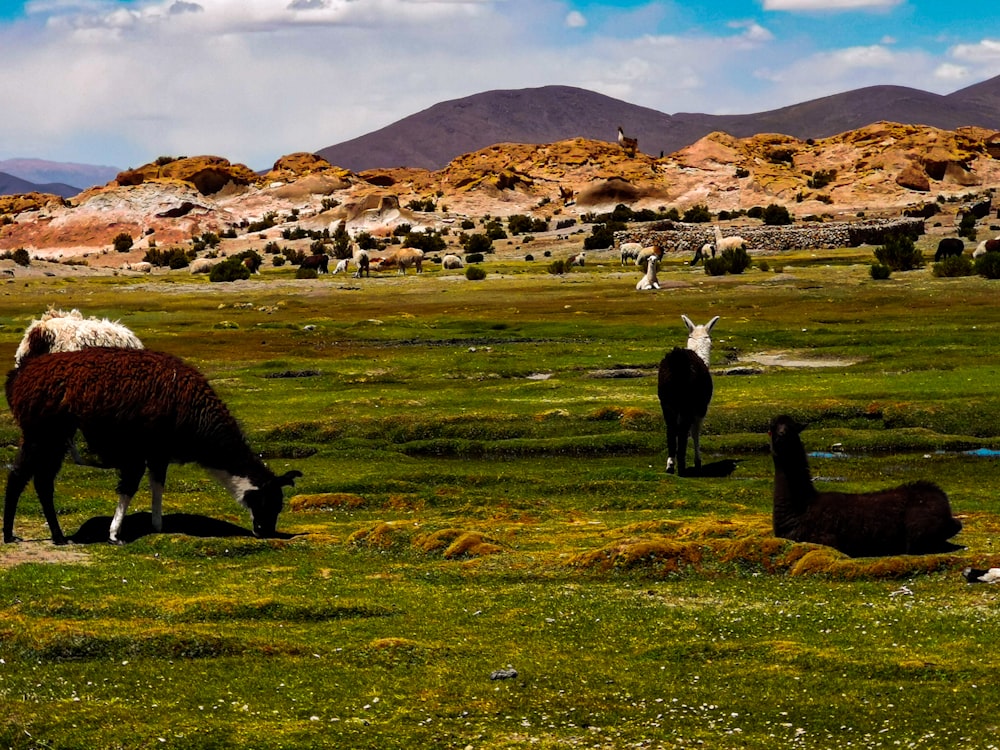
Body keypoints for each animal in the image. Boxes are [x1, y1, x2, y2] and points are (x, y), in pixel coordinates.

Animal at [2, 346, 300, 548]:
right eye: (268, 504)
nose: (265, 531)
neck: (193, 414)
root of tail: (20, 375)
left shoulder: (159, 452)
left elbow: (157, 484)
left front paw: (158, 525)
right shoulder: (138, 449)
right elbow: (129, 488)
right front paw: (115, 535)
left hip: (51, 437)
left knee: (35, 480)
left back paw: (48, 536)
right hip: (45, 434)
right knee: (24, 478)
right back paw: (21, 535)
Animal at [656, 318, 720, 476]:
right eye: (711, 342)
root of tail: (677, 362)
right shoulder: (701, 407)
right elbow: (696, 431)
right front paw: (698, 462)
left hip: (667, 401)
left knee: (671, 428)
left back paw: (670, 465)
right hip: (687, 401)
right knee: (684, 429)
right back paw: (681, 467)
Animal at [764, 418, 960, 560]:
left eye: (793, 429)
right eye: (771, 428)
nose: (782, 435)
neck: (801, 506)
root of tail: (943, 503)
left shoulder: (823, 538)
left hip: (919, 531)